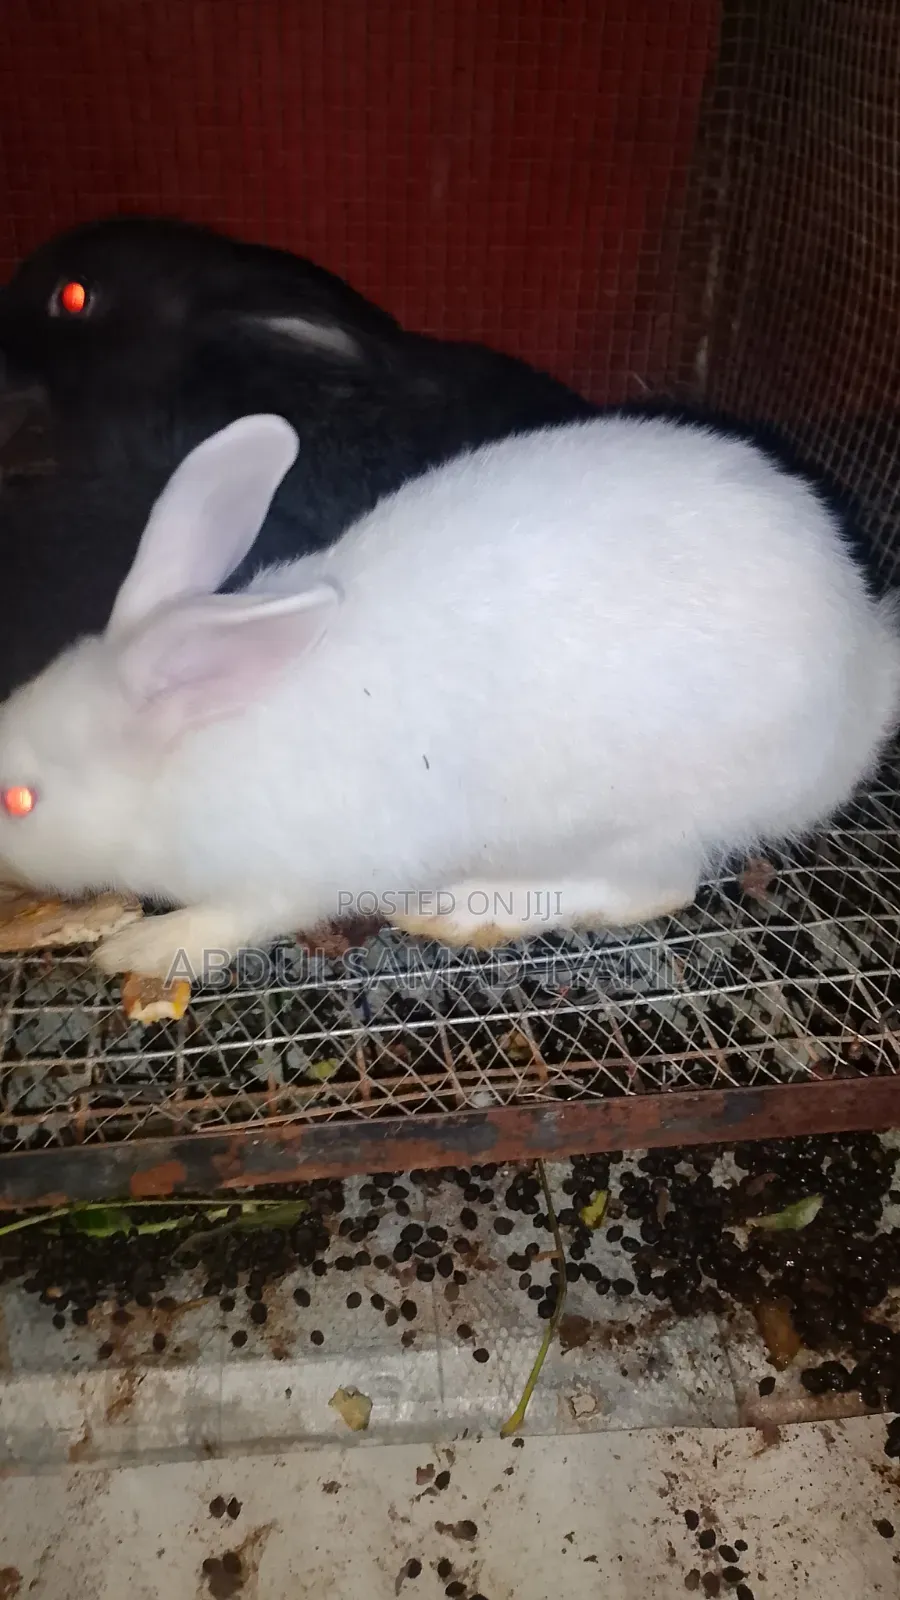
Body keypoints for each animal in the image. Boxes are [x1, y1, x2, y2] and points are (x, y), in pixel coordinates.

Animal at [1, 410, 897, 982]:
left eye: (21, 799)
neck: (188, 749)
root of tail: (864, 665)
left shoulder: (290, 875)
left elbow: (234, 919)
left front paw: (140, 951)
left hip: (644, 817)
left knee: (656, 887)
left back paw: (463, 910)